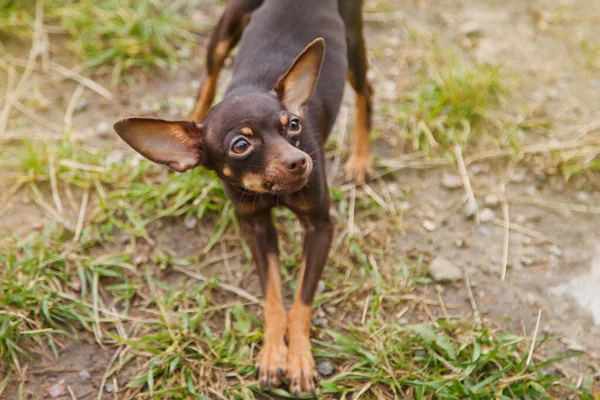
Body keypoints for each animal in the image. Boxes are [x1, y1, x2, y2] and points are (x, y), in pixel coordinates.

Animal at [113, 0, 370, 394]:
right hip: (224, 31)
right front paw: (273, 353)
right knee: (208, 77)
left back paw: (361, 157)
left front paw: (298, 359)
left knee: (365, 93)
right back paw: (189, 126)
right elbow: (273, 297)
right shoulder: (256, 228)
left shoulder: (321, 226)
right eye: (240, 145)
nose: (300, 160)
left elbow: (301, 300)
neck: (271, 195)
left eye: (293, 125)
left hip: (353, 40)